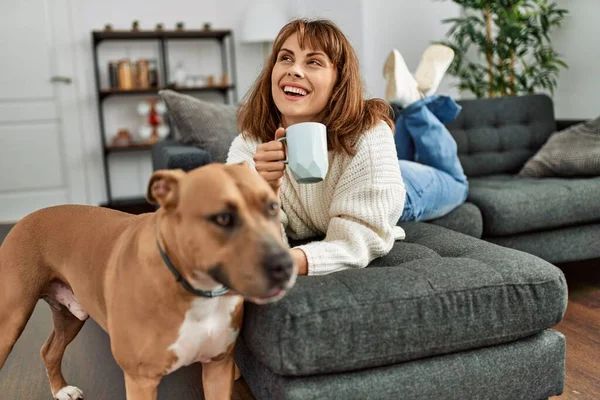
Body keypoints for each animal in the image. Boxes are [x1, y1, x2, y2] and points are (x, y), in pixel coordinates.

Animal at [0, 163, 296, 400]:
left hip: (70, 316)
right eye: (223, 218)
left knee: (49, 351)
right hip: (11, 319)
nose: (286, 264)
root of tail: (26, 218)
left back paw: (61, 389)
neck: (195, 292)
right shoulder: (141, 381)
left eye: (272, 208)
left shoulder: (218, 369)